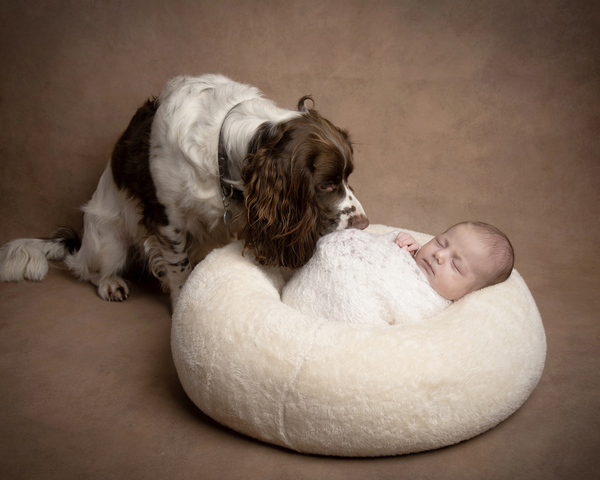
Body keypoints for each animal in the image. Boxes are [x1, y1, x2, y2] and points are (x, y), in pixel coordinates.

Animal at [0, 75, 368, 308]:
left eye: (347, 176)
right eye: (326, 184)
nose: (364, 224)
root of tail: (81, 240)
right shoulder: (167, 222)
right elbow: (178, 268)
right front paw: (181, 304)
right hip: (108, 241)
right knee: (85, 269)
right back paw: (109, 282)